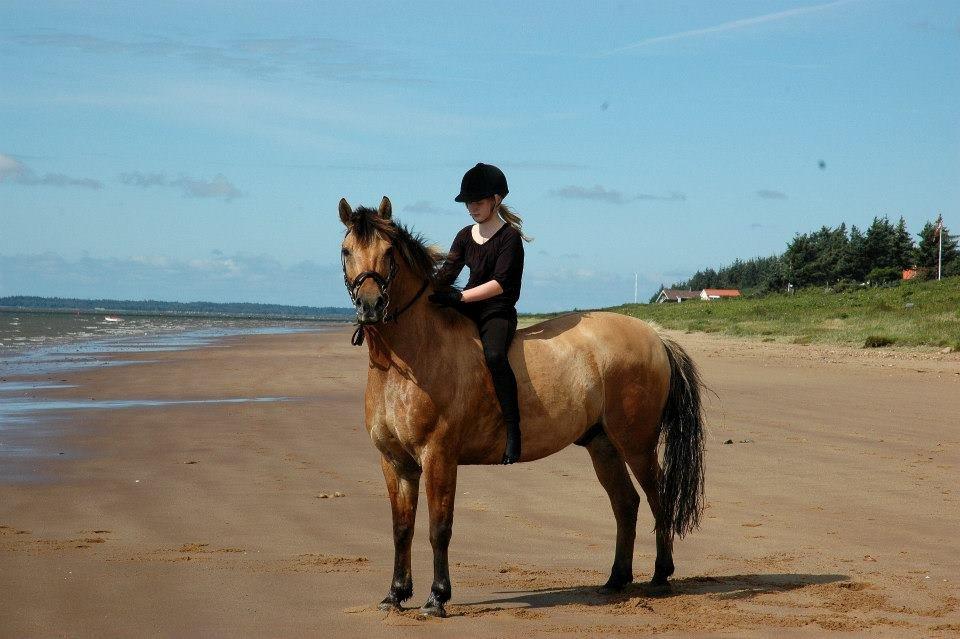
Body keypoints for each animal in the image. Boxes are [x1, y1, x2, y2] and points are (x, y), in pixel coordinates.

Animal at [338, 198, 704, 616]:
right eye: (346, 250)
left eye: (388, 252)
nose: (370, 306)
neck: (408, 360)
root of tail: (655, 336)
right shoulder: (394, 461)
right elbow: (402, 528)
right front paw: (396, 594)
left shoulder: (438, 455)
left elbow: (439, 528)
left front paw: (437, 597)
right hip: (603, 444)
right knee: (626, 503)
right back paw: (615, 579)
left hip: (636, 444)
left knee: (659, 498)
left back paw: (661, 575)